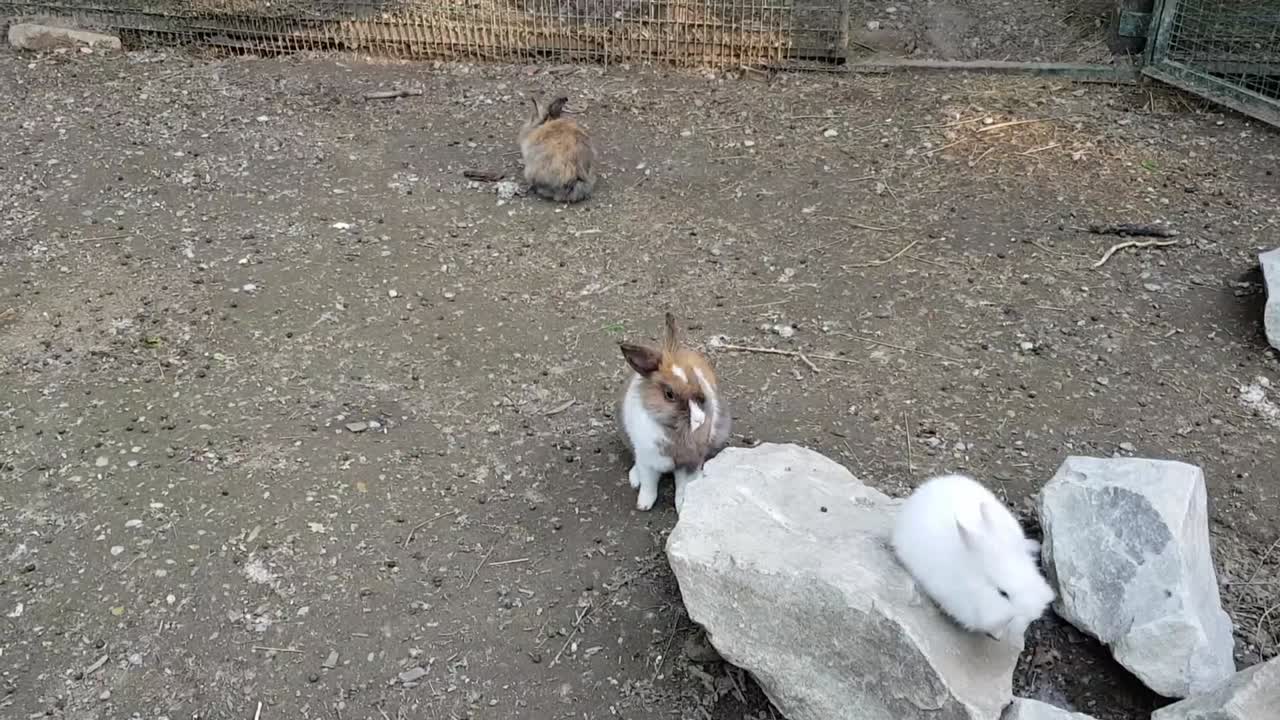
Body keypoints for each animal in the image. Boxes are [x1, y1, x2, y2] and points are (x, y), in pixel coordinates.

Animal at [618, 313, 731, 513]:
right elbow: (649, 484)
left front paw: (683, 505)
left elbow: (682, 486)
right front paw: (643, 504)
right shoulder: (647, 460)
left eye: (697, 379)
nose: (699, 419)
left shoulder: (690, 462)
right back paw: (634, 479)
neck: (673, 431)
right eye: (669, 394)